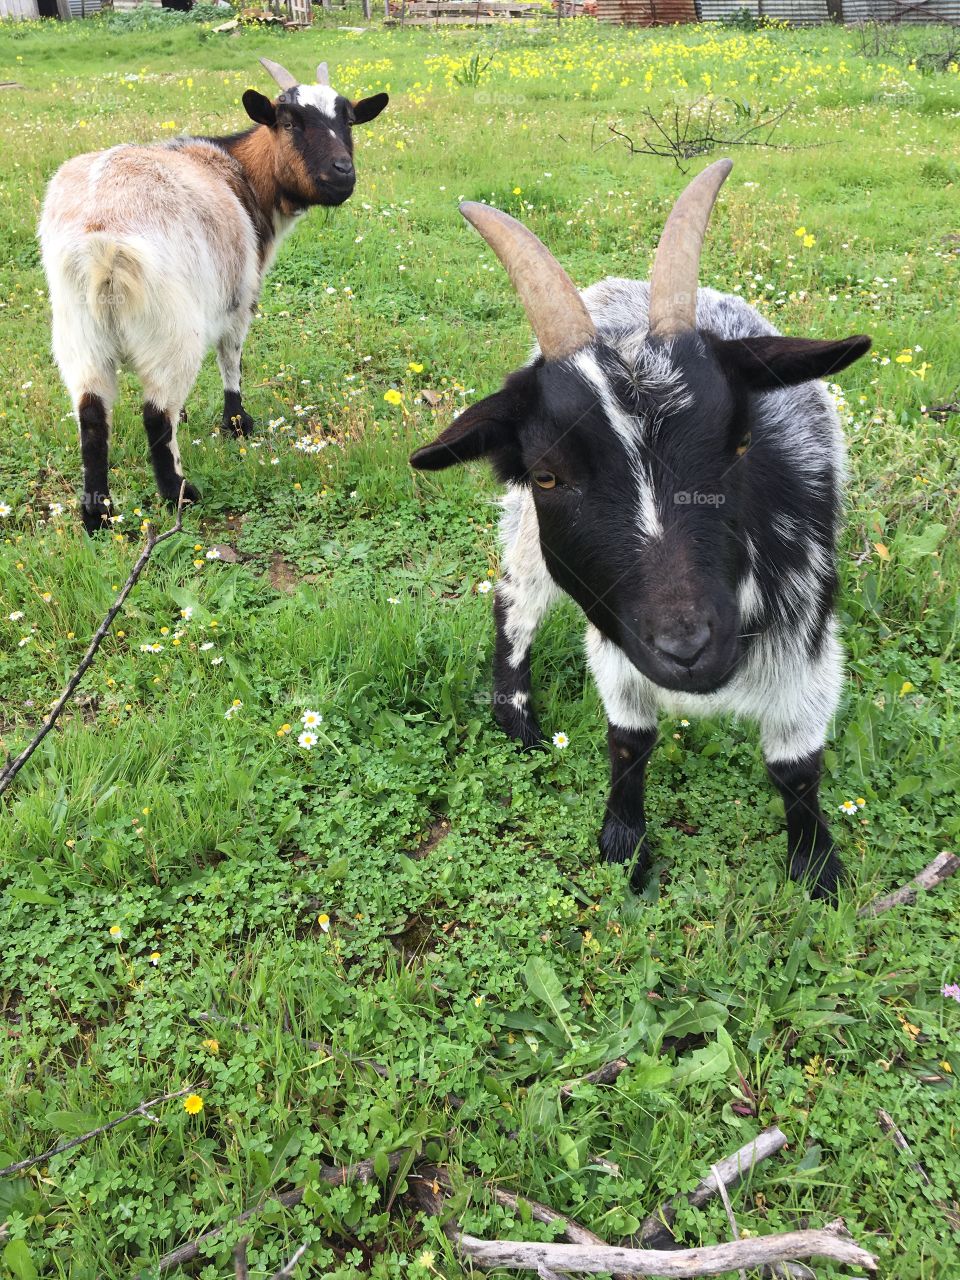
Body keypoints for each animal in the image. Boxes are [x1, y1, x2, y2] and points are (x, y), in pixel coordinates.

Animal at [39, 58, 387, 533]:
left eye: (348, 120)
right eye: (288, 122)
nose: (342, 172)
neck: (240, 172)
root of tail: (101, 238)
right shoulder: (239, 296)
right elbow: (231, 358)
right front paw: (237, 422)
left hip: (78, 326)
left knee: (92, 413)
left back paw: (98, 513)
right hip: (171, 324)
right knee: (155, 412)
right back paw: (178, 494)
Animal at [410, 160, 871, 900]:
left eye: (740, 442)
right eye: (549, 475)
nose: (687, 646)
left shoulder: (809, 642)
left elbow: (796, 764)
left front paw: (816, 869)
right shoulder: (616, 638)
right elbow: (630, 738)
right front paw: (624, 843)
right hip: (531, 542)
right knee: (514, 597)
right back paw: (516, 713)